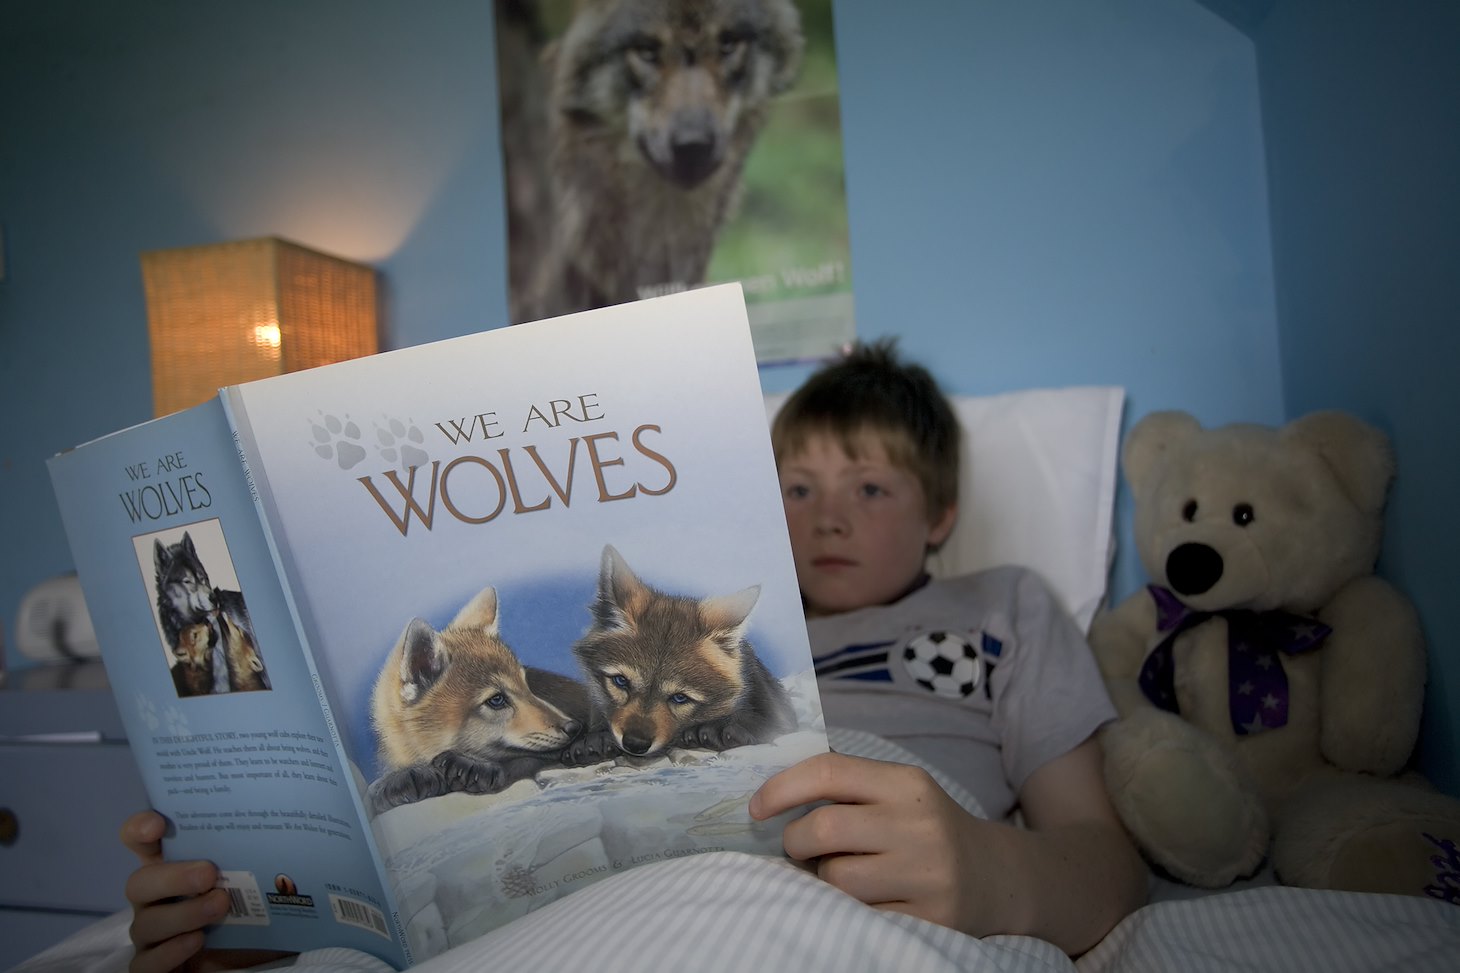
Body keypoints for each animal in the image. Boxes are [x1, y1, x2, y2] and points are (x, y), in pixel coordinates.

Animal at [368, 586, 589, 813]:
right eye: (497, 700)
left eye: (526, 685)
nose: (574, 727)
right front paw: (396, 781)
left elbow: (522, 760)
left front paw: (474, 767)